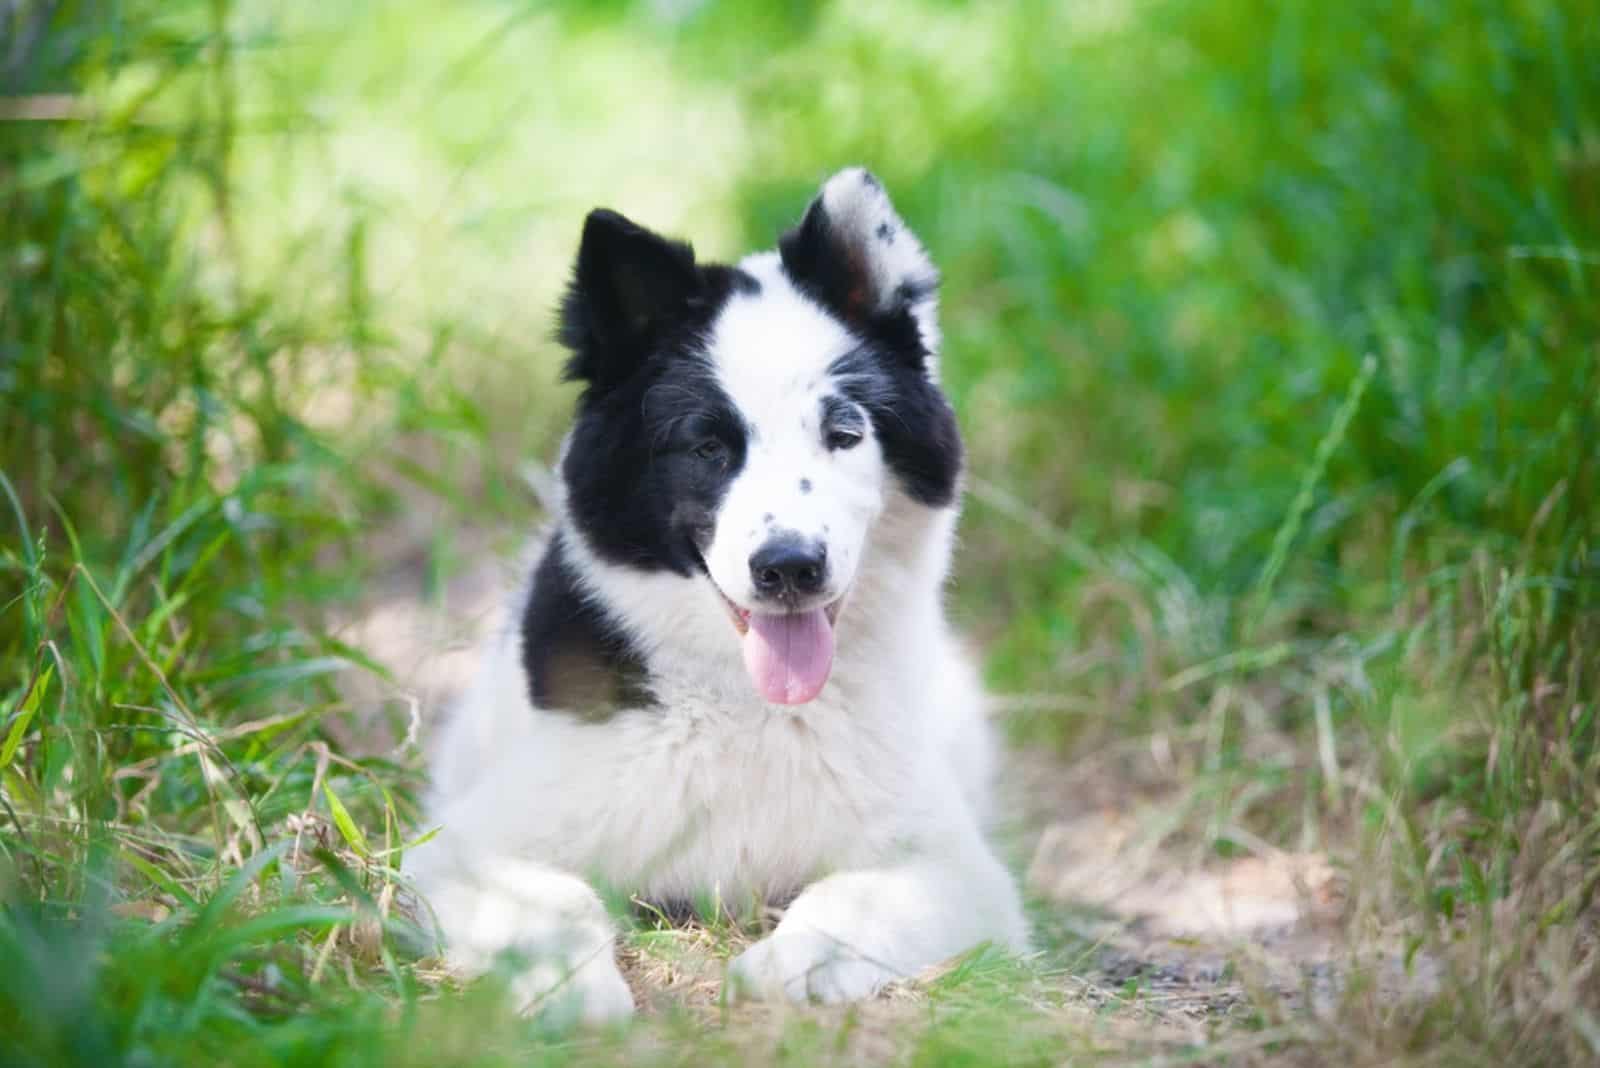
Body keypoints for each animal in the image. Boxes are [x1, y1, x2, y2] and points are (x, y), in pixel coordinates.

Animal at [409, 171, 1024, 1023]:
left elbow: (848, 899)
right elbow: (555, 902)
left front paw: (791, 965)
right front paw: (575, 988)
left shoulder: (957, 869)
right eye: (707, 446)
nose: (790, 568)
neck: (745, 706)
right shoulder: (465, 845)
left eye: (843, 434)